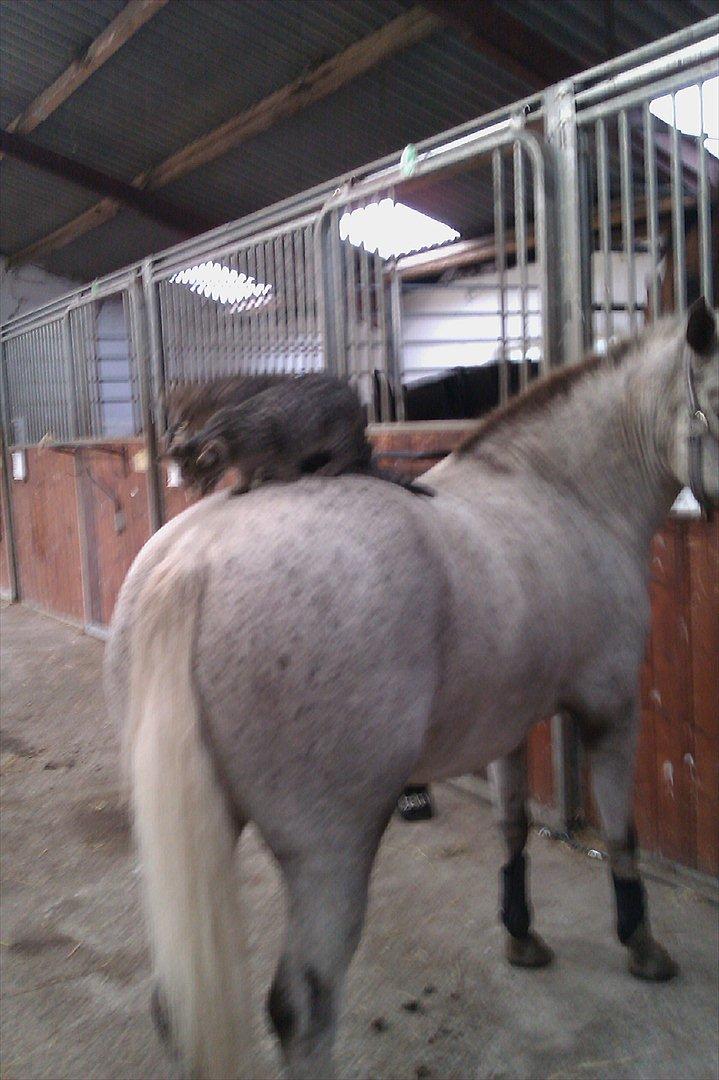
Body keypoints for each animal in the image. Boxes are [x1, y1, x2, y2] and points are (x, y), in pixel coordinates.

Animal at [105, 300, 719, 1080]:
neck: (560, 492)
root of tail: (194, 566)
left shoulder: (507, 722)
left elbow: (512, 825)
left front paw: (521, 935)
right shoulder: (610, 710)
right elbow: (621, 833)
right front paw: (642, 946)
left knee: (175, 1007)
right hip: (330, 852)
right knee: (302, 1004)